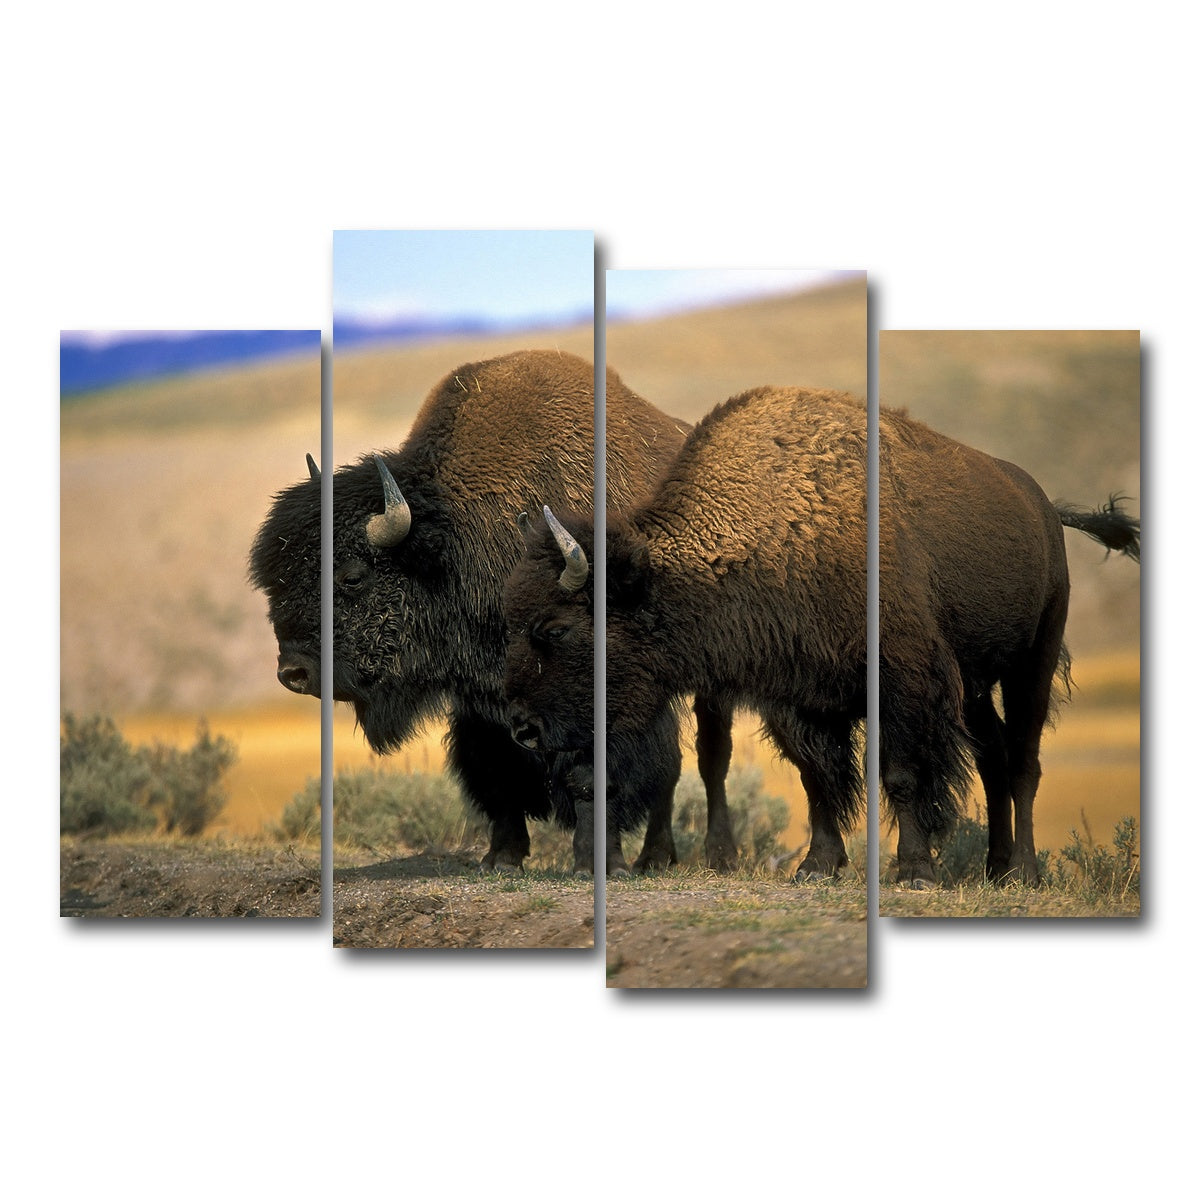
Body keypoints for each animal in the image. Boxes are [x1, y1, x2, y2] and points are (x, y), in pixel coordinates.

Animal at [250, 349, 694, 871]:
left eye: (353, 576)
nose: (293, 672)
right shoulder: (480, 701)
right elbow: (496, 770)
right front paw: (501, 856)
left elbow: (596, 774)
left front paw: (599, 863)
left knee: (675, 767)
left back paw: (655, 858)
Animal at [505, 384, 1139, 886]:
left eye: (555, 628)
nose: (522, 728)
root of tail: (1043, 505)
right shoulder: (800, 697)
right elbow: (819, 778)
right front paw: (817, 865)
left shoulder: (903, 682)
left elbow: (901, 773)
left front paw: (915, 872)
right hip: (977, 686)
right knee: (995, 758)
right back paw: (994, 868)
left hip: (1033, 660)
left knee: (1025, 762)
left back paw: (1024, 872)